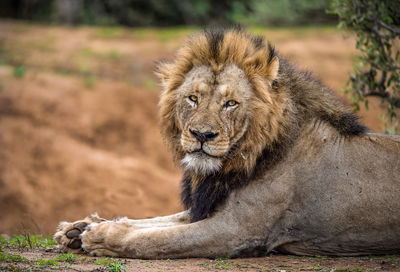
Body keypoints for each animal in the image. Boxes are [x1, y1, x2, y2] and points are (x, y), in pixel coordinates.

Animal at [54, 28, 400, 258]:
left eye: (230, 104)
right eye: (193, 99)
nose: (201, 135)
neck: (237, 161)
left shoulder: (238, 230)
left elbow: (155, 239)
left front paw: (100, 236)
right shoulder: (207, 206)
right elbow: (154, 222)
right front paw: (77, 228)